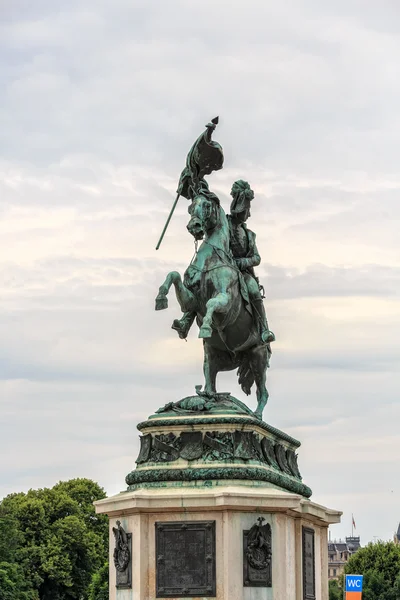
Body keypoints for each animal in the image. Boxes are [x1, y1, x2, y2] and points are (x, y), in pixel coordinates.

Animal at [155, 192, 270, 418]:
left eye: (207, 205)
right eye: (191, 206)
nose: (194, 226)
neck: (213, 257)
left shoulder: (226, 302)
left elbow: (212, 303)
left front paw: (207, 326)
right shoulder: (191, 300)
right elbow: (174, 276)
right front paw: (161, 298)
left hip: (258, 356)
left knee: (263, 392)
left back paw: (257, 415)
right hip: (212, 355)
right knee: (210, 383)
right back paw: (207, 399)